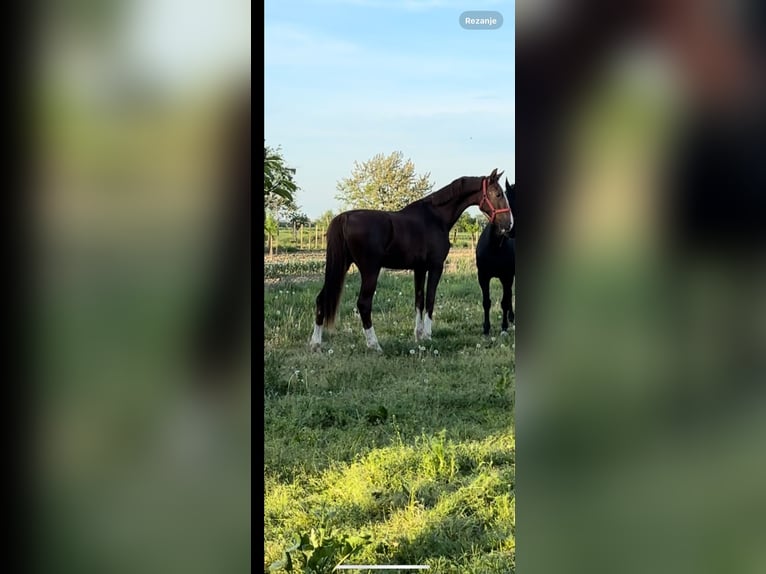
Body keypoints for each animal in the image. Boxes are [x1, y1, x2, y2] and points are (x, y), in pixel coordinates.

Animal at [308, 169, 512, 354]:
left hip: (340, 267)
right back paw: (374, 345)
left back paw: (316, 343)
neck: (435, 217)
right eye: (497, 193)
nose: (508, 224)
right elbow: (430, 299)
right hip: (370, 270)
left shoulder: (419, 269)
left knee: (321, 299)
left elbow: (419, 301)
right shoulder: (436, 267)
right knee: (363, 304)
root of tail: (346, 217)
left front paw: (418, 335)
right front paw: (428, 335)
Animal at [476, 178, 520, 336]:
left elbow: (504, 302)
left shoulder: (506, 276)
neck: (494, 247)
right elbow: (486, 302)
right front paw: (486, 328)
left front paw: (504, 327)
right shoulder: (483, 276)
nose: (511, 229)